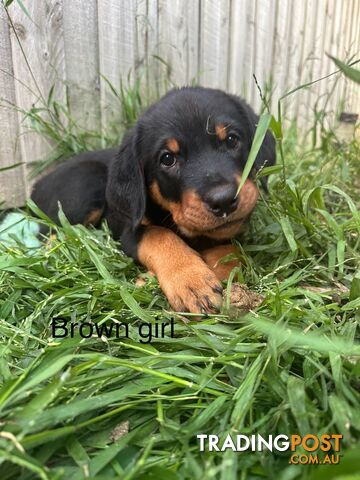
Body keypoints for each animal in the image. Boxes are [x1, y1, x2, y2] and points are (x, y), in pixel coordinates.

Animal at [31, 86, 276, 316]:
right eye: (167, 159)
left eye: (232, 140)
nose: (223, 200)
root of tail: (37, 186)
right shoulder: (130, 231)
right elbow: (159, 235)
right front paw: (191, 281)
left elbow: (231, 250)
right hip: (87, 182)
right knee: (53, 233)